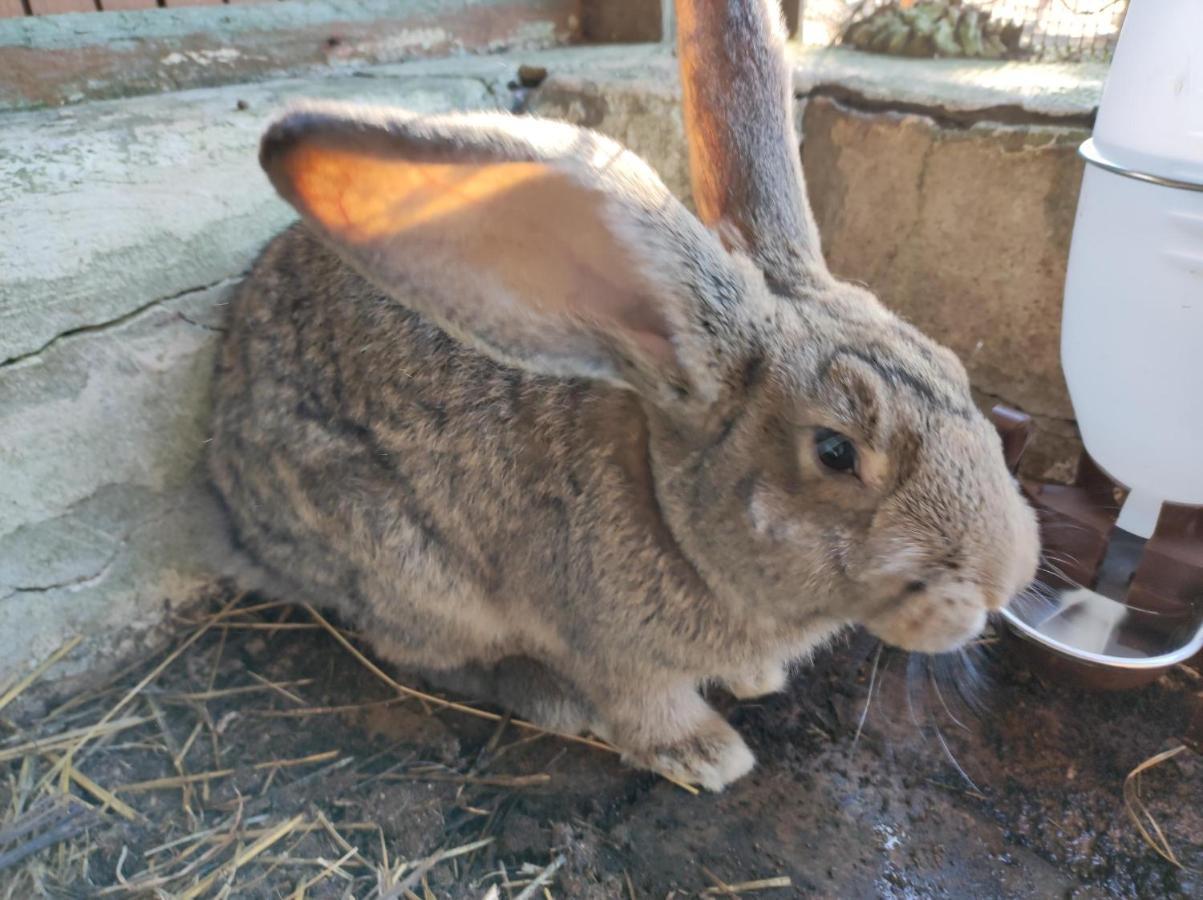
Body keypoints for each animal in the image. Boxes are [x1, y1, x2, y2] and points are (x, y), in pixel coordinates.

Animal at [209, 0, 1044, 789]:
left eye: (952, 370)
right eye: (835, 452)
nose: (1004, 579)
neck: (667, 505)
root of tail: (234, 499)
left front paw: (757, 678)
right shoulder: (613, 649)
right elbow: (646, 704)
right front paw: (707, 754)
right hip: (407, 563)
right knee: (422, 651)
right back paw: (550, 698)